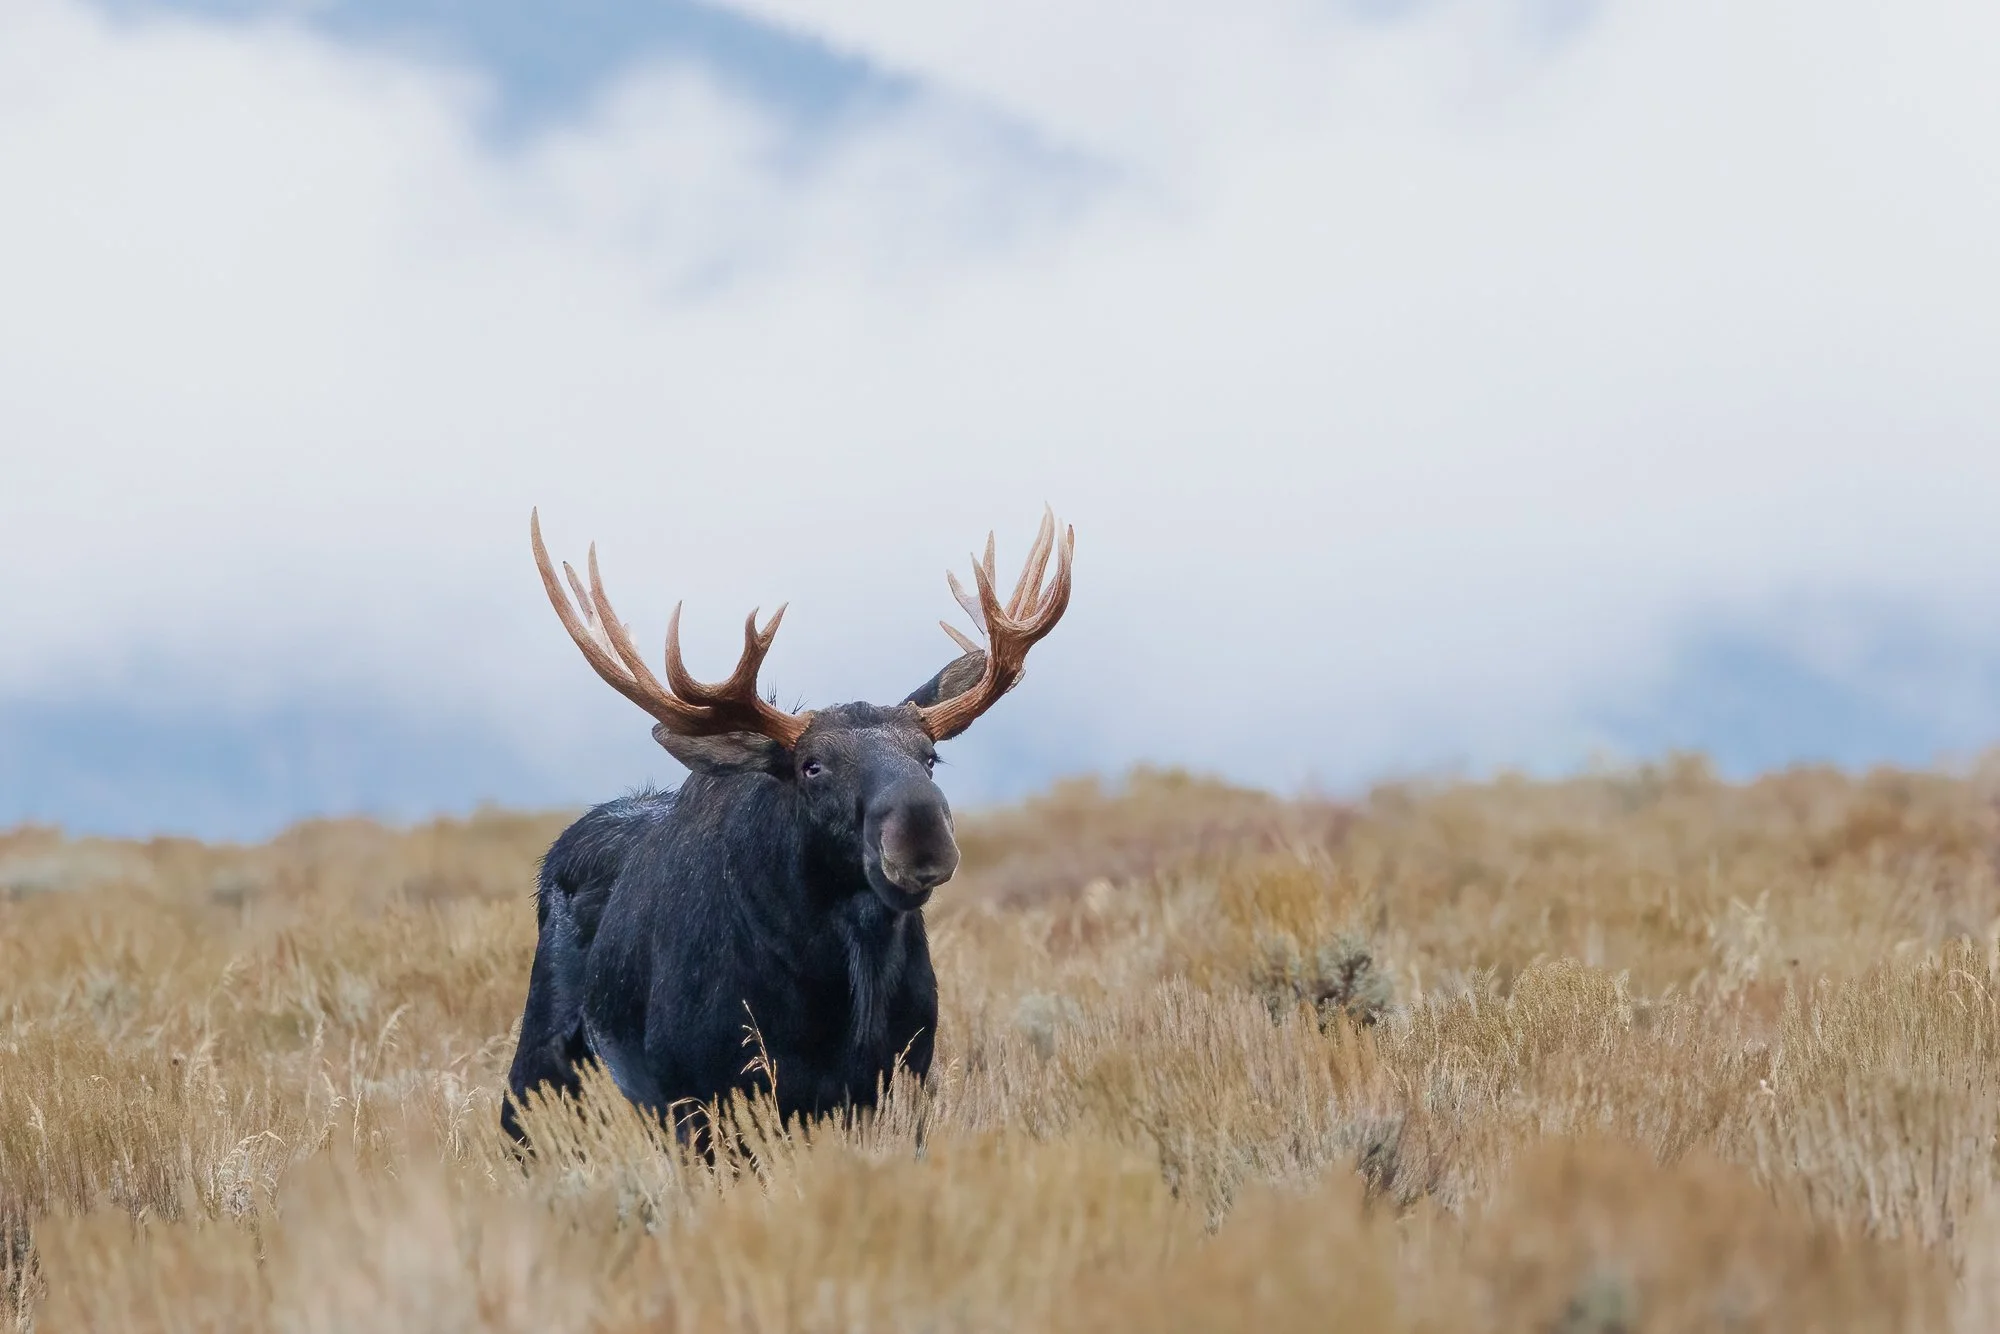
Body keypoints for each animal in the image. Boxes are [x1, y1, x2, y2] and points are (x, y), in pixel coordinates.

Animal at [501, 507, 1074, 1150]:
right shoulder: (701, 1096)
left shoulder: (899, 1080)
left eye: (930, 757)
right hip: (537, 1070)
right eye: (812, 766)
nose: (922, 834)